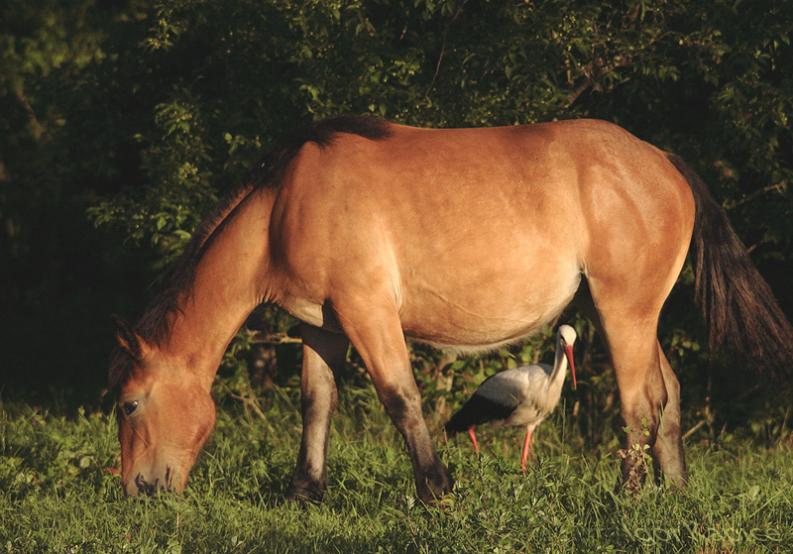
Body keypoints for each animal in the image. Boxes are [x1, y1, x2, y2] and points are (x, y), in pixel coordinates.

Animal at [106, 115, 792, 500]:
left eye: (129, 403)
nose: (139, 490)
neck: (286, 203)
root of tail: (662, 161)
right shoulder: (322, 326)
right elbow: (317, 403)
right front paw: (304, 493)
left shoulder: (367, 313)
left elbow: (402, 399)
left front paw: (436, 491)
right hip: (636, 318)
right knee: (668, 398)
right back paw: (672, 495)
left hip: (625, 313)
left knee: (637, 406)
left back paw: (626, 499)